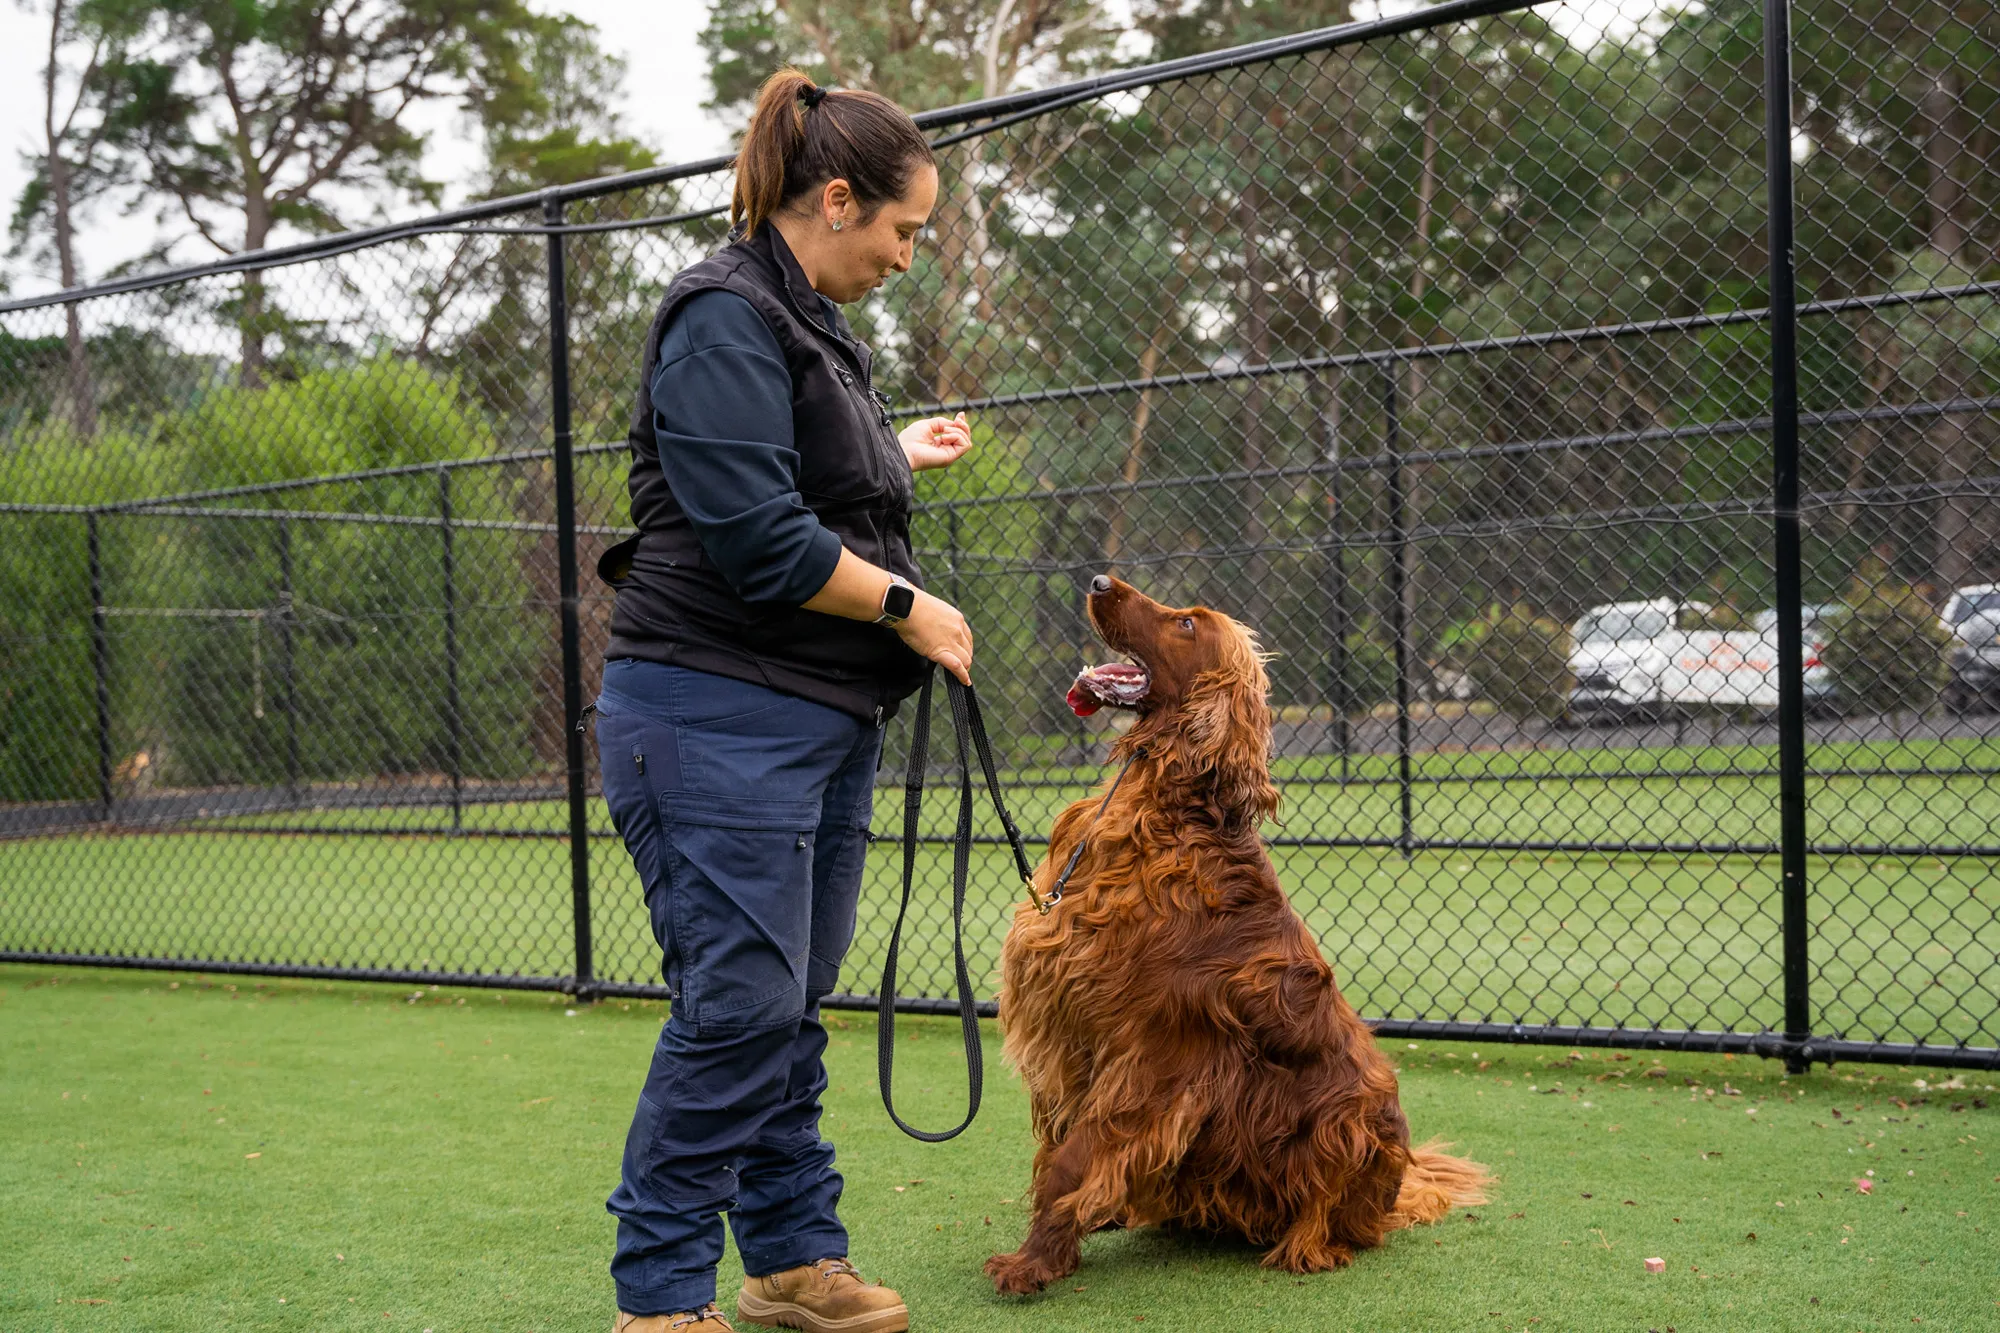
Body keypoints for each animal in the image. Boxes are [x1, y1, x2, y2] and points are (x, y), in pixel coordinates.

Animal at [984, 572, 1488, 1288]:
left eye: (1187, 624)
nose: (1100, 580)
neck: (1167, 809)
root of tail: (1392, 1196)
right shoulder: (1078, 1037)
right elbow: (1061, 1152)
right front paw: (1068, 1236)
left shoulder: (1153, 1057)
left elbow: (1071, 1161)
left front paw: (1033, 1261)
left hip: (1348, 1121)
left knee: (1329, 1223)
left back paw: (1305, 1247)